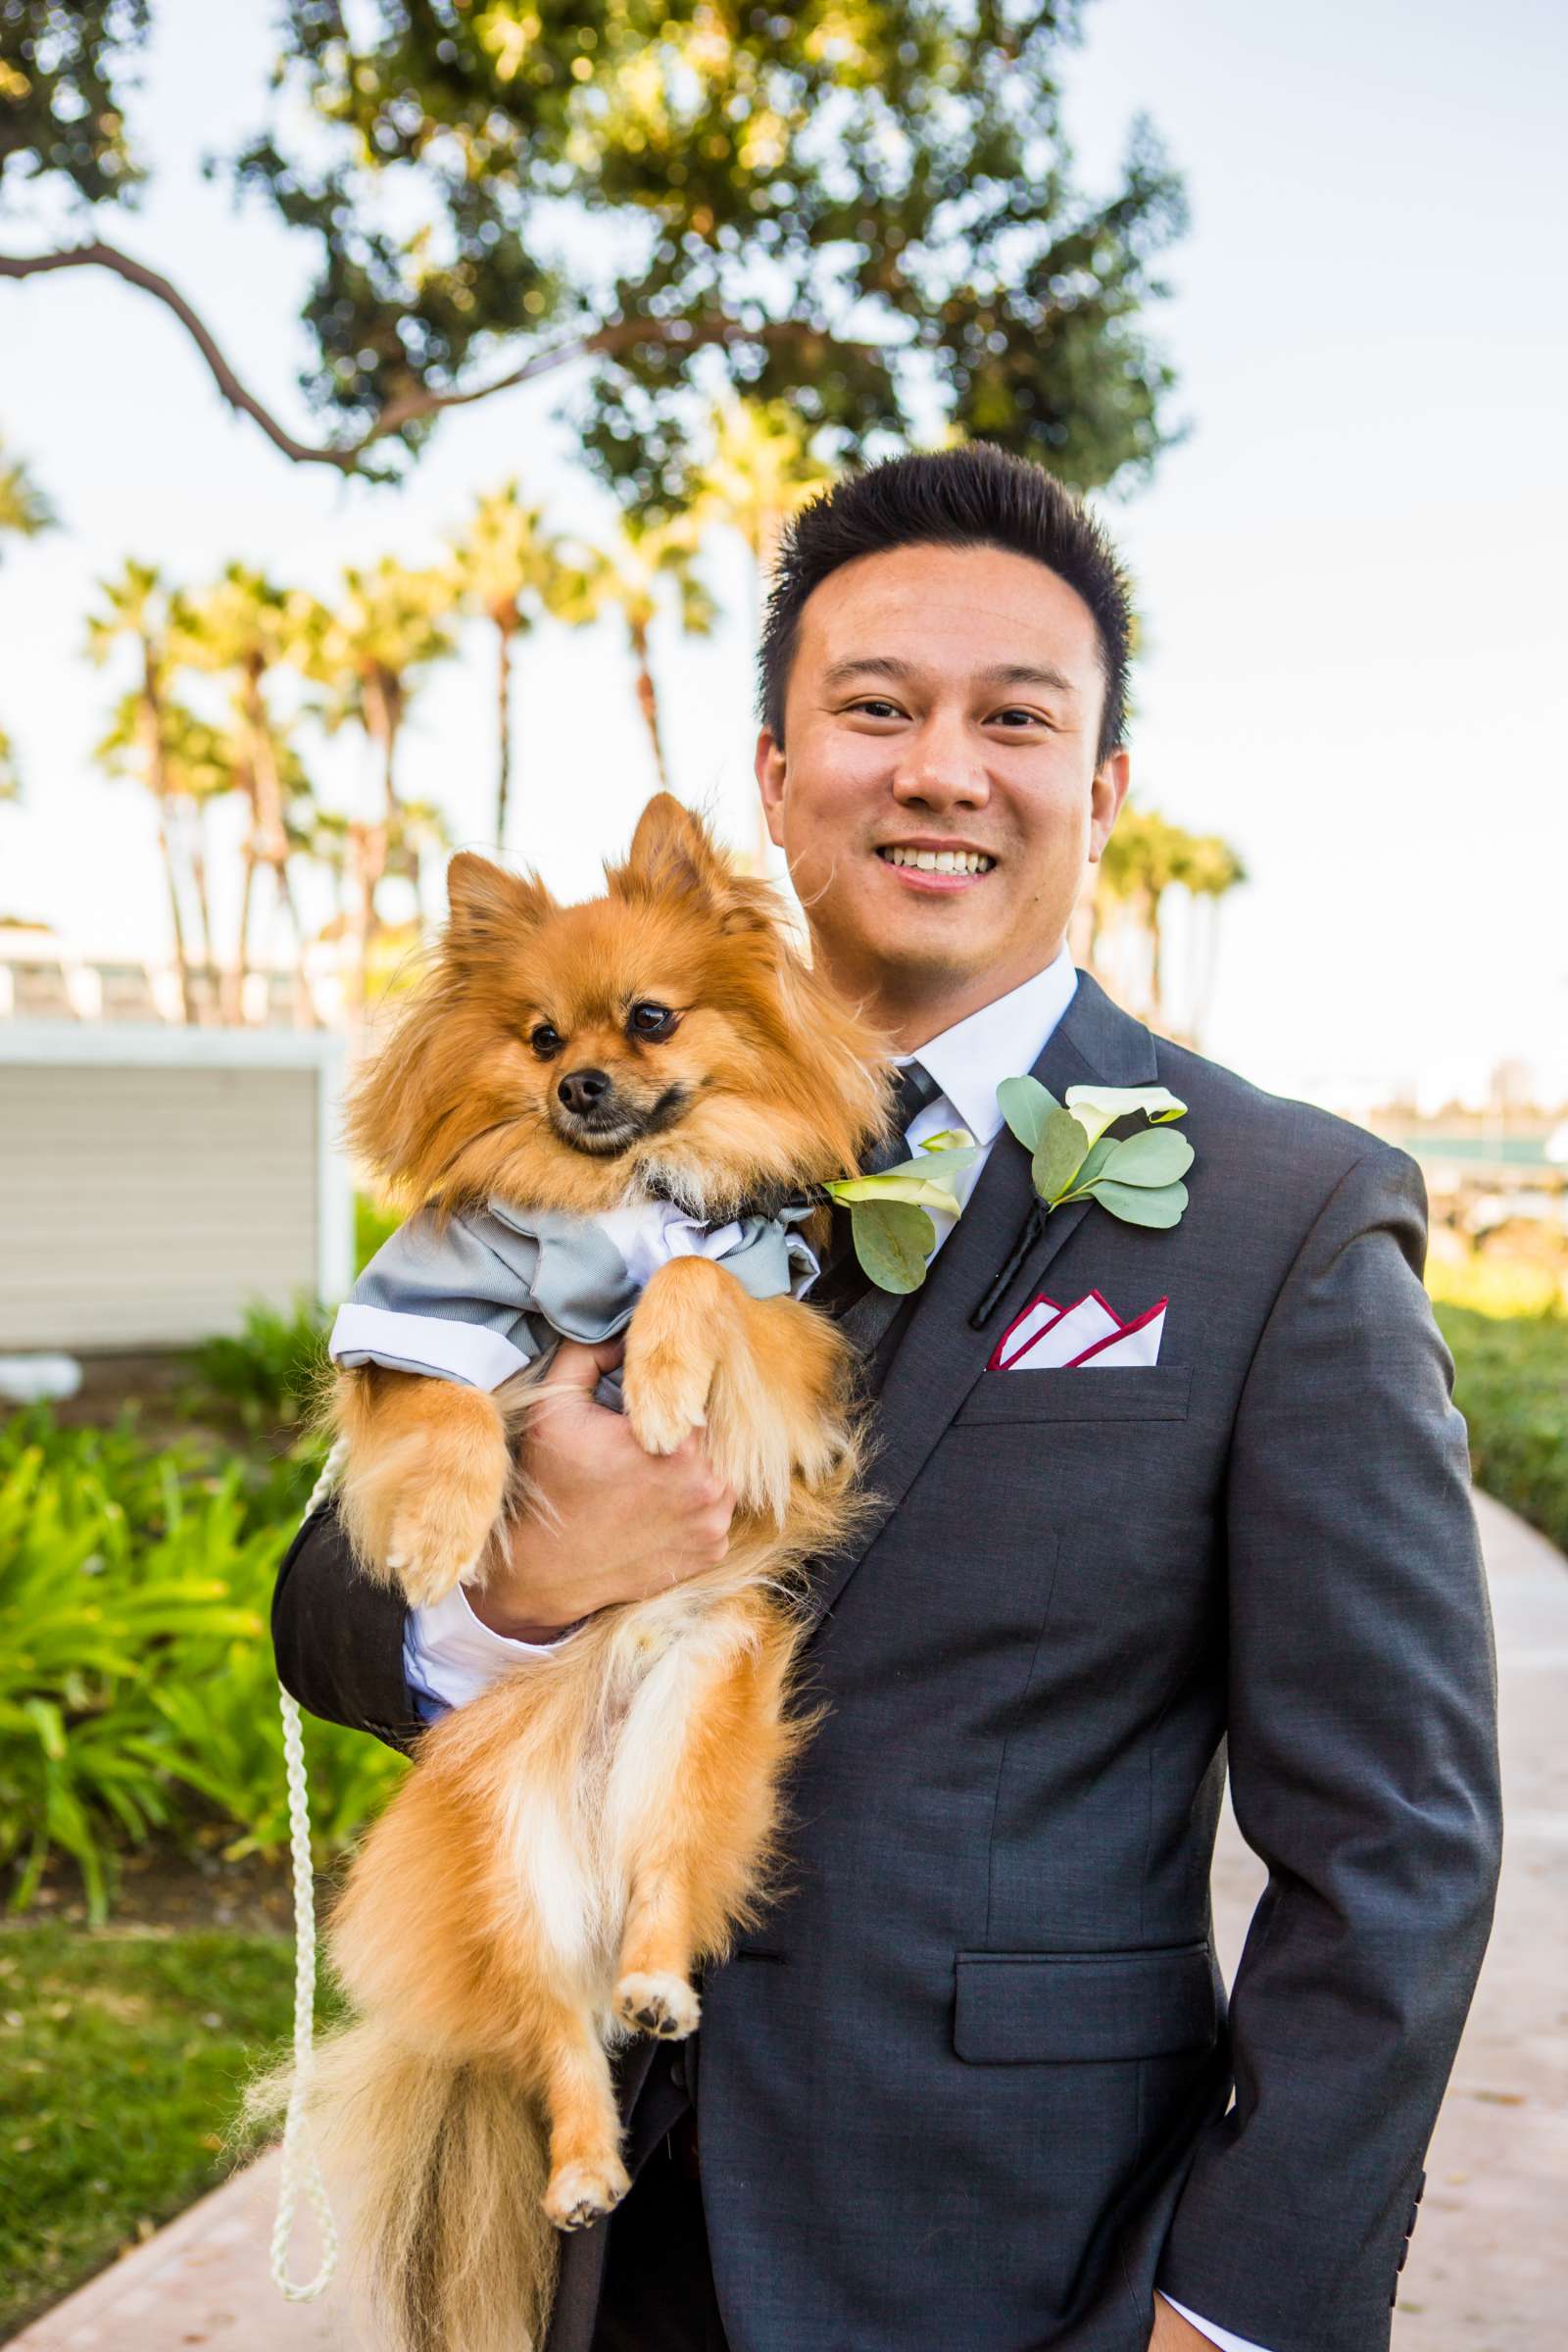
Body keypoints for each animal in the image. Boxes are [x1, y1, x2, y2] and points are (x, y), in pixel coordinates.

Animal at [280, 795, 888, 2352]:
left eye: (652, 1019)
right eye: (541, 1037)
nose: (587, 1087)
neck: (612, 1199)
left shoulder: (786, 1330)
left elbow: (695, 1279)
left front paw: (663, 1377)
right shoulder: (425, 1299)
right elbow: (438, 1407)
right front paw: (441, 1533)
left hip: (699, 1712)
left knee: (666, 1895)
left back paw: (661, 1982)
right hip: (513, 1866)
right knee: (560, 2032)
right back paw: (577, 2171)